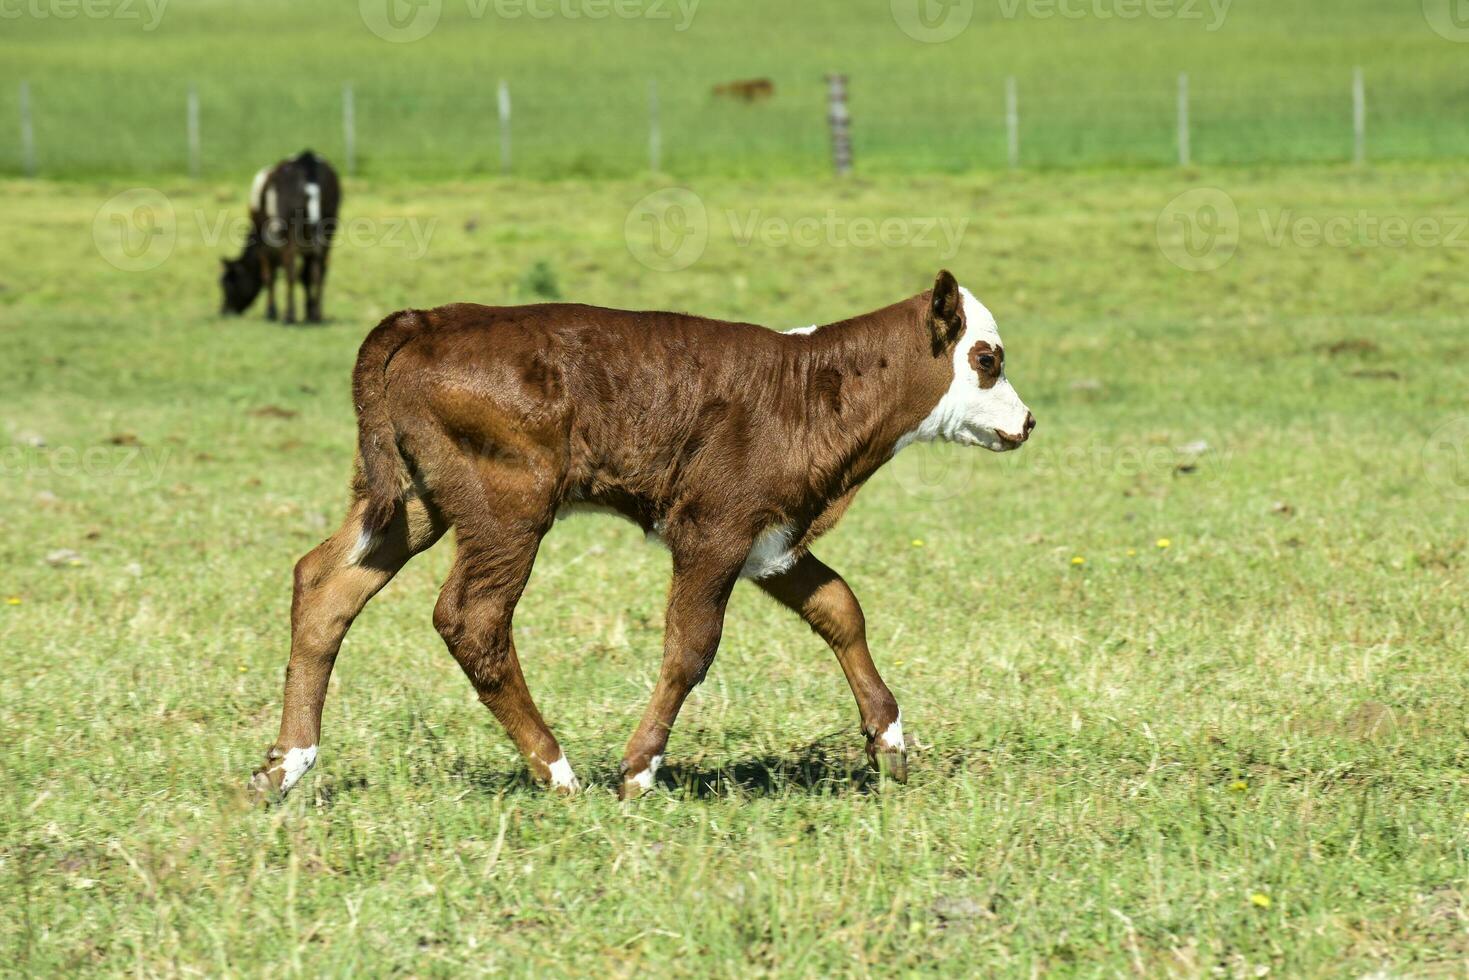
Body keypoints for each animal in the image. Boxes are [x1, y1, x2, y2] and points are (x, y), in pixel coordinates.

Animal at [217, 150, 340, 326]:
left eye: (227, 284)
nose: (224, 311)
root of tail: (306, 158)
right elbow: (306, 277)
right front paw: (309, 313)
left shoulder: (264, 247)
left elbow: (269, 276)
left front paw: (271, 312)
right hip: (329, 228)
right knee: (319, 272)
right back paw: (317, 316)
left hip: (289, 232)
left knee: (290, 272)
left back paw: (289, 316)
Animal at [249, 265, 1034, 799]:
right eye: (986, 358)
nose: (1027, 422)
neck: (809, 388)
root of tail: (427, 318)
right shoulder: (713, 531)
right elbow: (691, 647)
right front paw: (637, 770)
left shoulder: (771, 541)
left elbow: (840, 608)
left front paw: (888, 742)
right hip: (508, 507)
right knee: (472, 618)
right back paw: (559, 773)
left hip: (409, 502)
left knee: (324, 585)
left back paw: (284, 765)